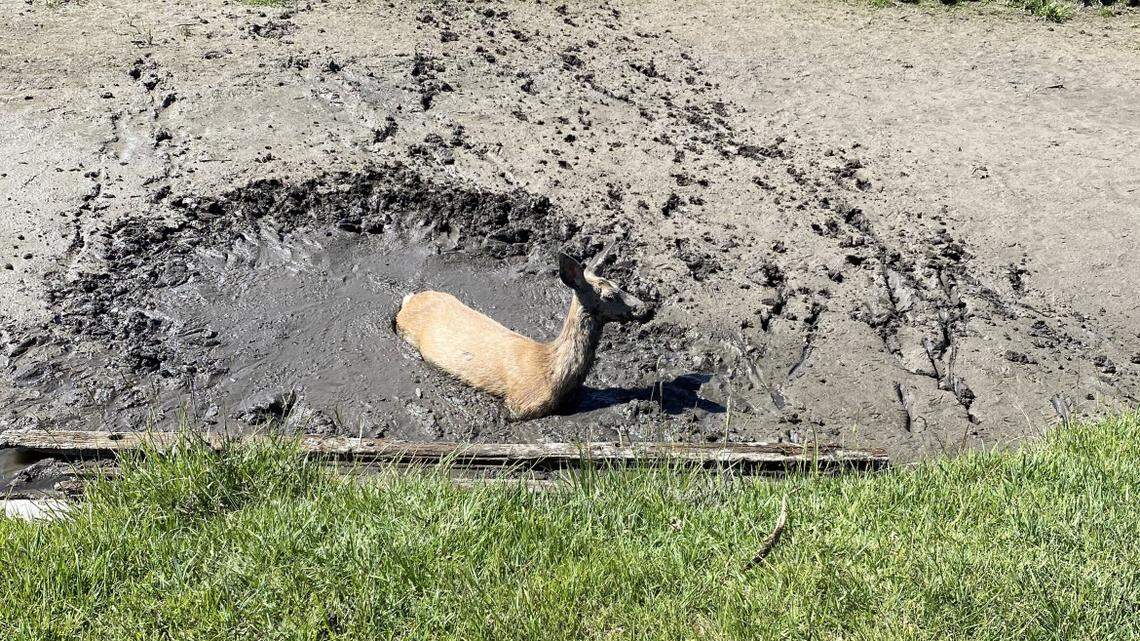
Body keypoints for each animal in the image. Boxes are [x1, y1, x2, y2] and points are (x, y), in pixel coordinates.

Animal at [395, 246, 654, 420]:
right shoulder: (521, 402)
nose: (646, 308)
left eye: (620, 285)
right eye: (609, 296)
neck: (553, 372)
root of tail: (409, 301)